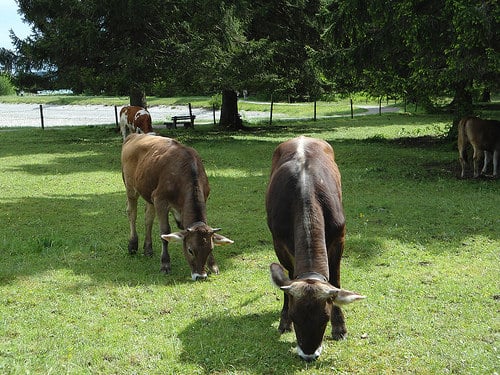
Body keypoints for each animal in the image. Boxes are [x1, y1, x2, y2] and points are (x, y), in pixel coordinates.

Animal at [121, 134, 232, 280]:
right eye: (190, 250)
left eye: (210, 249)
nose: (200, 276)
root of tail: (133, 135)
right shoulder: (160, 200)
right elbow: (164, 232)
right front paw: (165, 264)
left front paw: (213, 265)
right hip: (130, 188)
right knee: (132, 213)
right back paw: (133, 245)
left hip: (148, 193)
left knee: (148, 218)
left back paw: (148, 249)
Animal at [266, 137, 364, 362]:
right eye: (295, 316)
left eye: (325, 318)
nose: (308, 354)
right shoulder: (279, 243)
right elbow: (288, 279)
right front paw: (284, 321)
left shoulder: (339, 238)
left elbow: (336, 280)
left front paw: (340, 327)